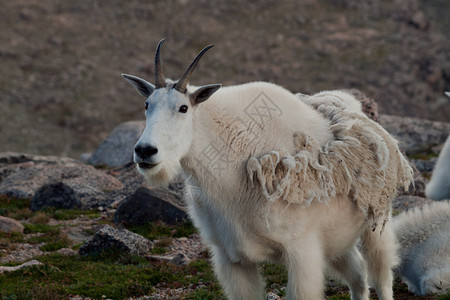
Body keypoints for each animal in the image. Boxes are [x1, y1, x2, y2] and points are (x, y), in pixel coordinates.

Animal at [121, 39, 414, 300]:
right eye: (147, 105)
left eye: (183, 108)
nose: (145, 151)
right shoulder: (231, 257)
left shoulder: (301, 250)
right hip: (338, 240)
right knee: (358, 278)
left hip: (376, 223)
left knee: (381, 276)